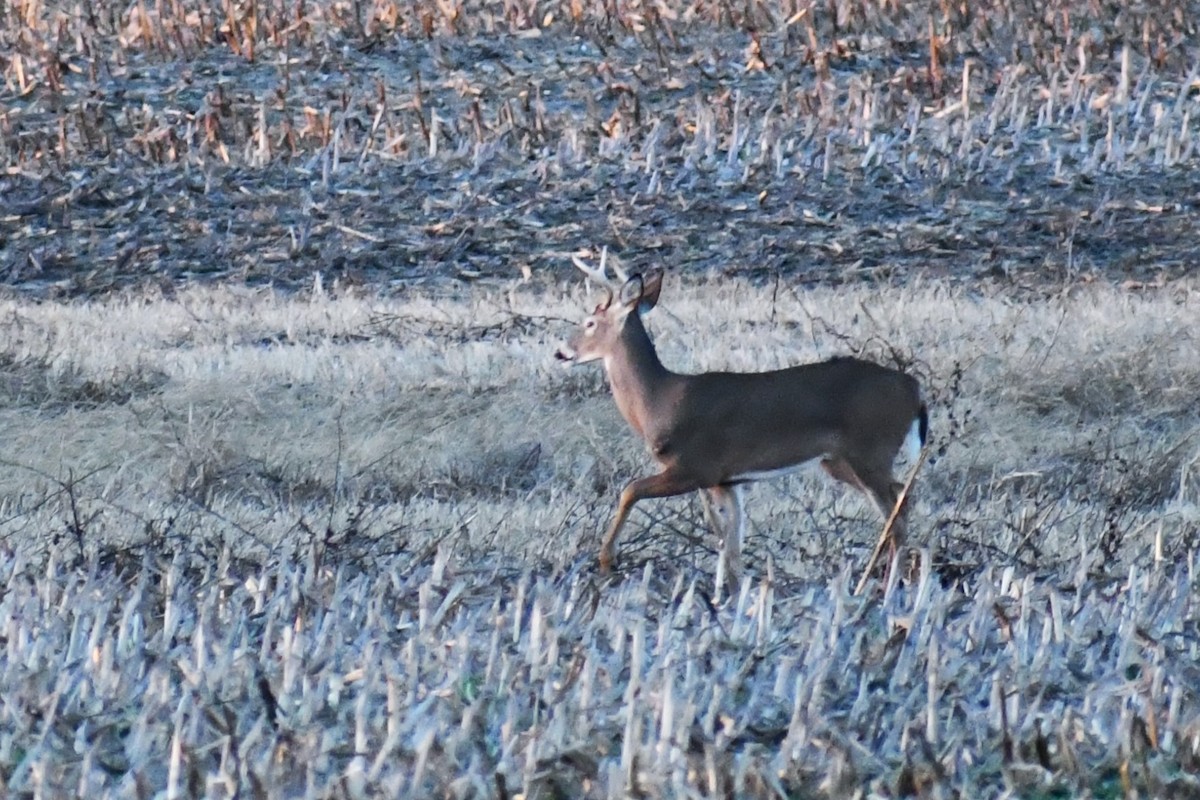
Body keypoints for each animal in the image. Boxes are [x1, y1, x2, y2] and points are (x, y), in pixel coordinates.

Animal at [555, 251, 929, 585]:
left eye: (589, 322)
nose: (560, 352)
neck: (658, 401)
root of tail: (913, 389)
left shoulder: (696, 466)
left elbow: (629, 490)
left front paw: (607, 559)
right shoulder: (727, 481)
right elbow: (732, 548)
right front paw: (729, 598)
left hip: (870, 450)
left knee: (897, 513)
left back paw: (887, 585)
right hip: (840, 461)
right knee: (902, 498)